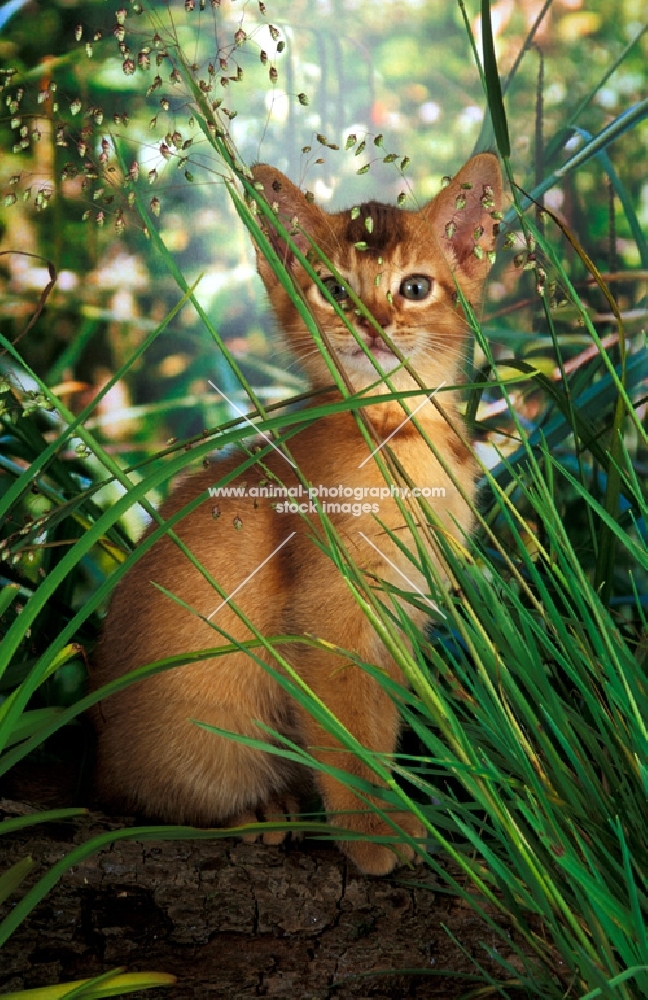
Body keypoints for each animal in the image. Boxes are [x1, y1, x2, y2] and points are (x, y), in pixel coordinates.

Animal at [92, 150, 502, 876]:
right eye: (333, 289)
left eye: (415, 287)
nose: (371, 322)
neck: (397, 431)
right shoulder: (330, 613)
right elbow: (348, 735)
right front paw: (374, 830)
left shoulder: (399, 618)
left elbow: (379, 724)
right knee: (152, 799)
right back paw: (258, 810)